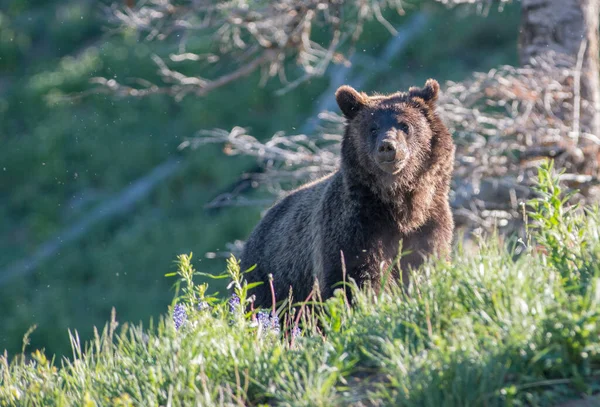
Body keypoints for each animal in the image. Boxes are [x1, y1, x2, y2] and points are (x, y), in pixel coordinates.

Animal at [239, 79, 454, 308]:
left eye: (405, 125)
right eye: (373, 128)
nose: (387, 146)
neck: (400, 204)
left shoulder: (430, 224)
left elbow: (425, 265)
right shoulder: (354, 228)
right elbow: (353, 277)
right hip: (270, 279)